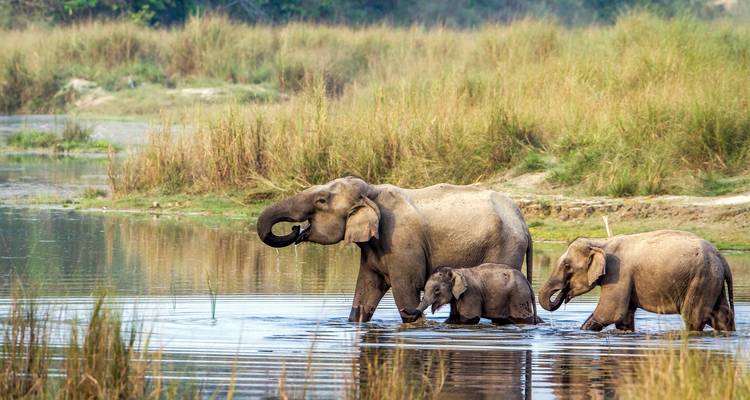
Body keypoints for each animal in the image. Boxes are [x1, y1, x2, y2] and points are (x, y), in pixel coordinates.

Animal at [407, 264, 541, 325]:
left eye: (437, 290)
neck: (455, 270)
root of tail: (527, 283)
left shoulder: (471, 294)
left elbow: (469, 319)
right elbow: (453, 318)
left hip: (519, 298)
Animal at [538, 230, 735, 331]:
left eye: (567, 266)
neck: (601, 242)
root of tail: (722, 258)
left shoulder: (618, 274)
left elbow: (608, 313)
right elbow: (623, 319)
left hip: (701, 279)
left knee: (693, 318)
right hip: (712, 280)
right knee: (721, 316)